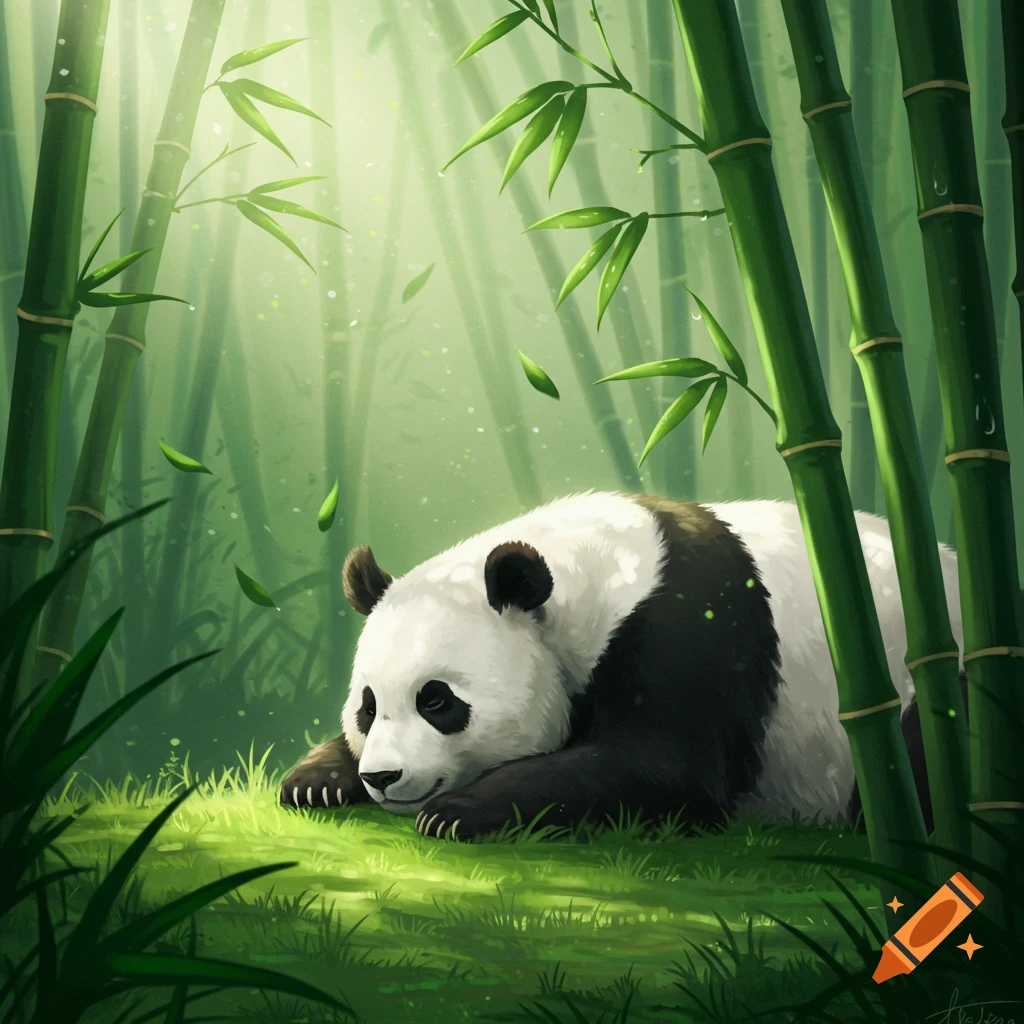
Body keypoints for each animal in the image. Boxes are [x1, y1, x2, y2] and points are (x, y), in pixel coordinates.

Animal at [280, 491, 965, 840]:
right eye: (368, 707)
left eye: (437, 700)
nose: (383, 778)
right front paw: (315, 780)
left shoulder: (689, 628)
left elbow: (665, 767)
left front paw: (455, 812)